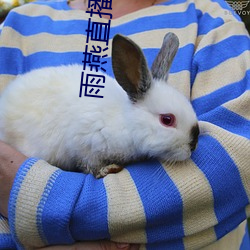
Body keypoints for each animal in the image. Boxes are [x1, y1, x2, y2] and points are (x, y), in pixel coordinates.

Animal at [0, 33, 199, 178]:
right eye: (167, 120)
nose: (193, 145)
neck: (125, 121)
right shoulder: (83, 146)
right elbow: (89, 164)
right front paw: (107, 170)